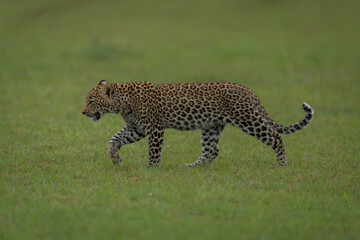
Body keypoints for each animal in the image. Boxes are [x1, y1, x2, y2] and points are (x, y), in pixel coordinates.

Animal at [81, 79, 312, 168]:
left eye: (91, 101)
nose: (83, 112)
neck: (123, 103)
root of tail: (248, 91)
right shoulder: (136, 129)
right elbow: (114, 139)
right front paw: (116, 159)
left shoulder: (154, 128)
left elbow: (154, 151)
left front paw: (151, 168)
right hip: (211, 126)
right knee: (212, 151)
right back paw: (190, 167)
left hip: (247, 118)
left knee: (276, 136)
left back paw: (281, 164)